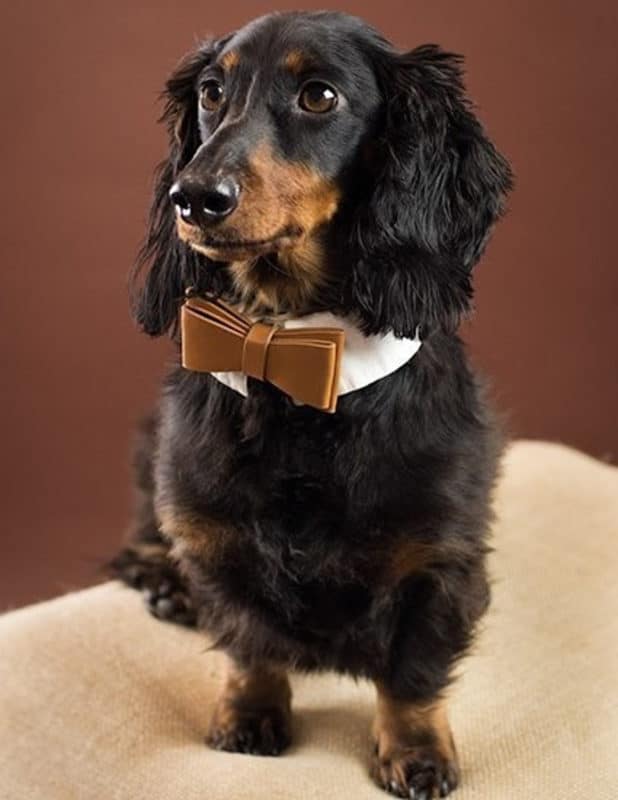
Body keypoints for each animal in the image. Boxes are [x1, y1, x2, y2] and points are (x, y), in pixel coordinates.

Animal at [109, 9, 510, 796]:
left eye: (320, 96)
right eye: (211, 92)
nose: (193, 197)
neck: (289, 349)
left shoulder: (439, 561)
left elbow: (414, 673)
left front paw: (417, 751)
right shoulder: (214, 533)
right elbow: (250, 640)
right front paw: (249, 715)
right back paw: (159, 578)